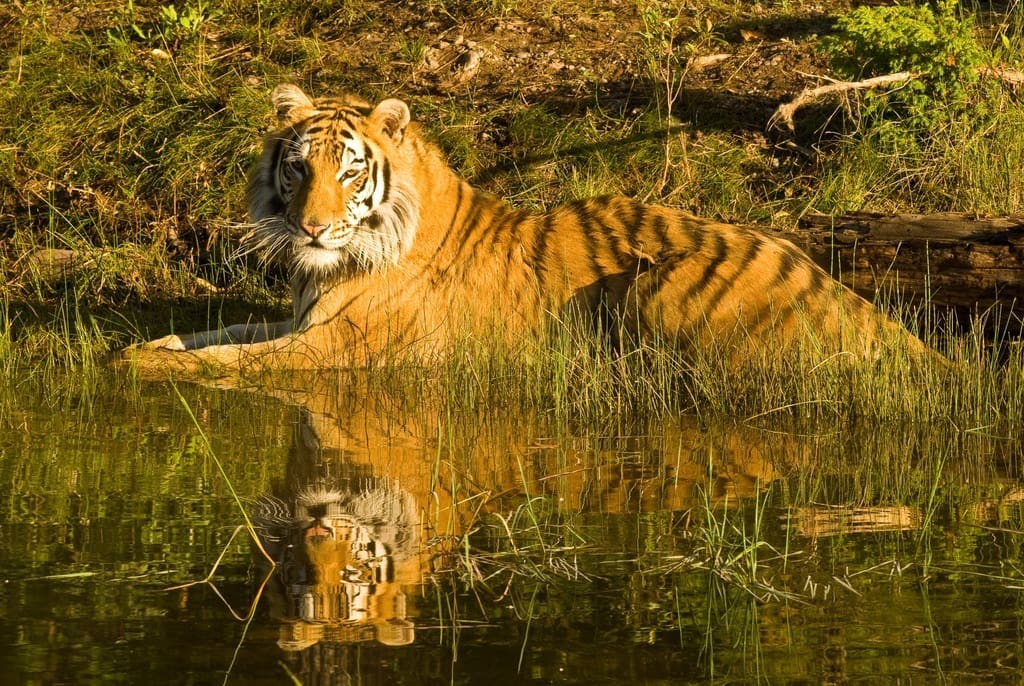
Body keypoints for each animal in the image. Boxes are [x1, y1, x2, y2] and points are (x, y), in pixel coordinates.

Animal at [125, 83, 937, 378]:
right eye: (298, 169)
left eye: (350, 174)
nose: (314, 228)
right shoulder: (300, 319)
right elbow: (220, 333)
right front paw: (141, 347)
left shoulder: (342, 345)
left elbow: (234, 363)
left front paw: (146, 368)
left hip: (660, 288)